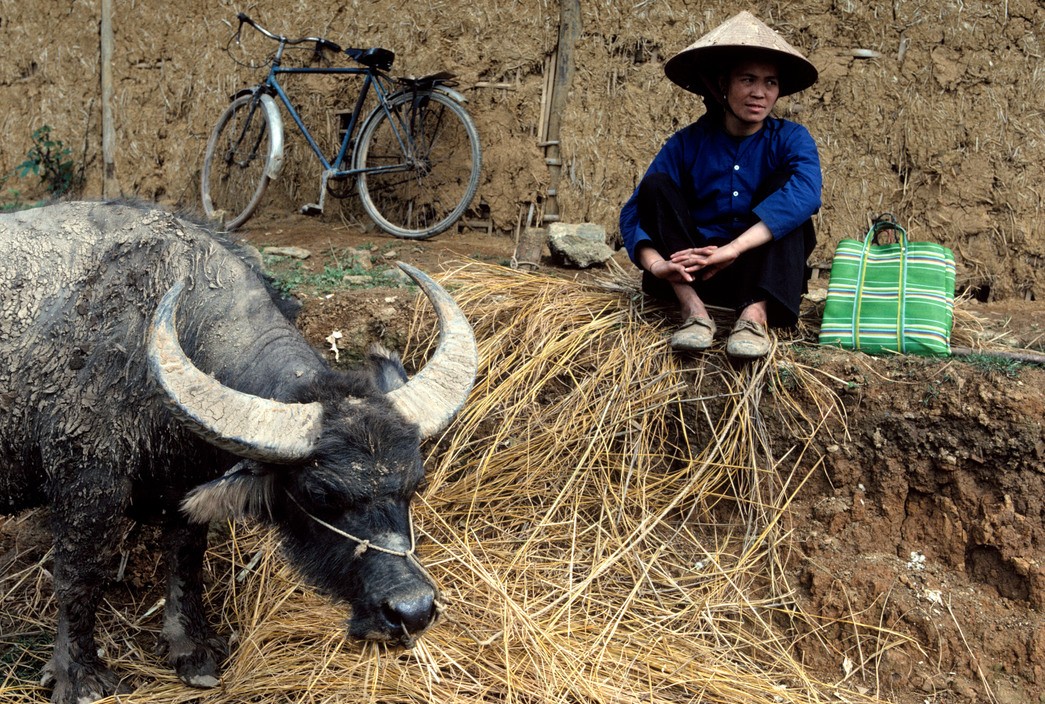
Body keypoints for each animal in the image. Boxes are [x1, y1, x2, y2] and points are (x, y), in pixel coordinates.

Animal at [0, 198, 478, 701]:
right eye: (320, 495)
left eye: (414, 483)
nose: (412, 609)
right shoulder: (86, 485)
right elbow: (79, 575)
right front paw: (80, 675)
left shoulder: (186, 486)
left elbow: (186, 561)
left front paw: (192, 649)